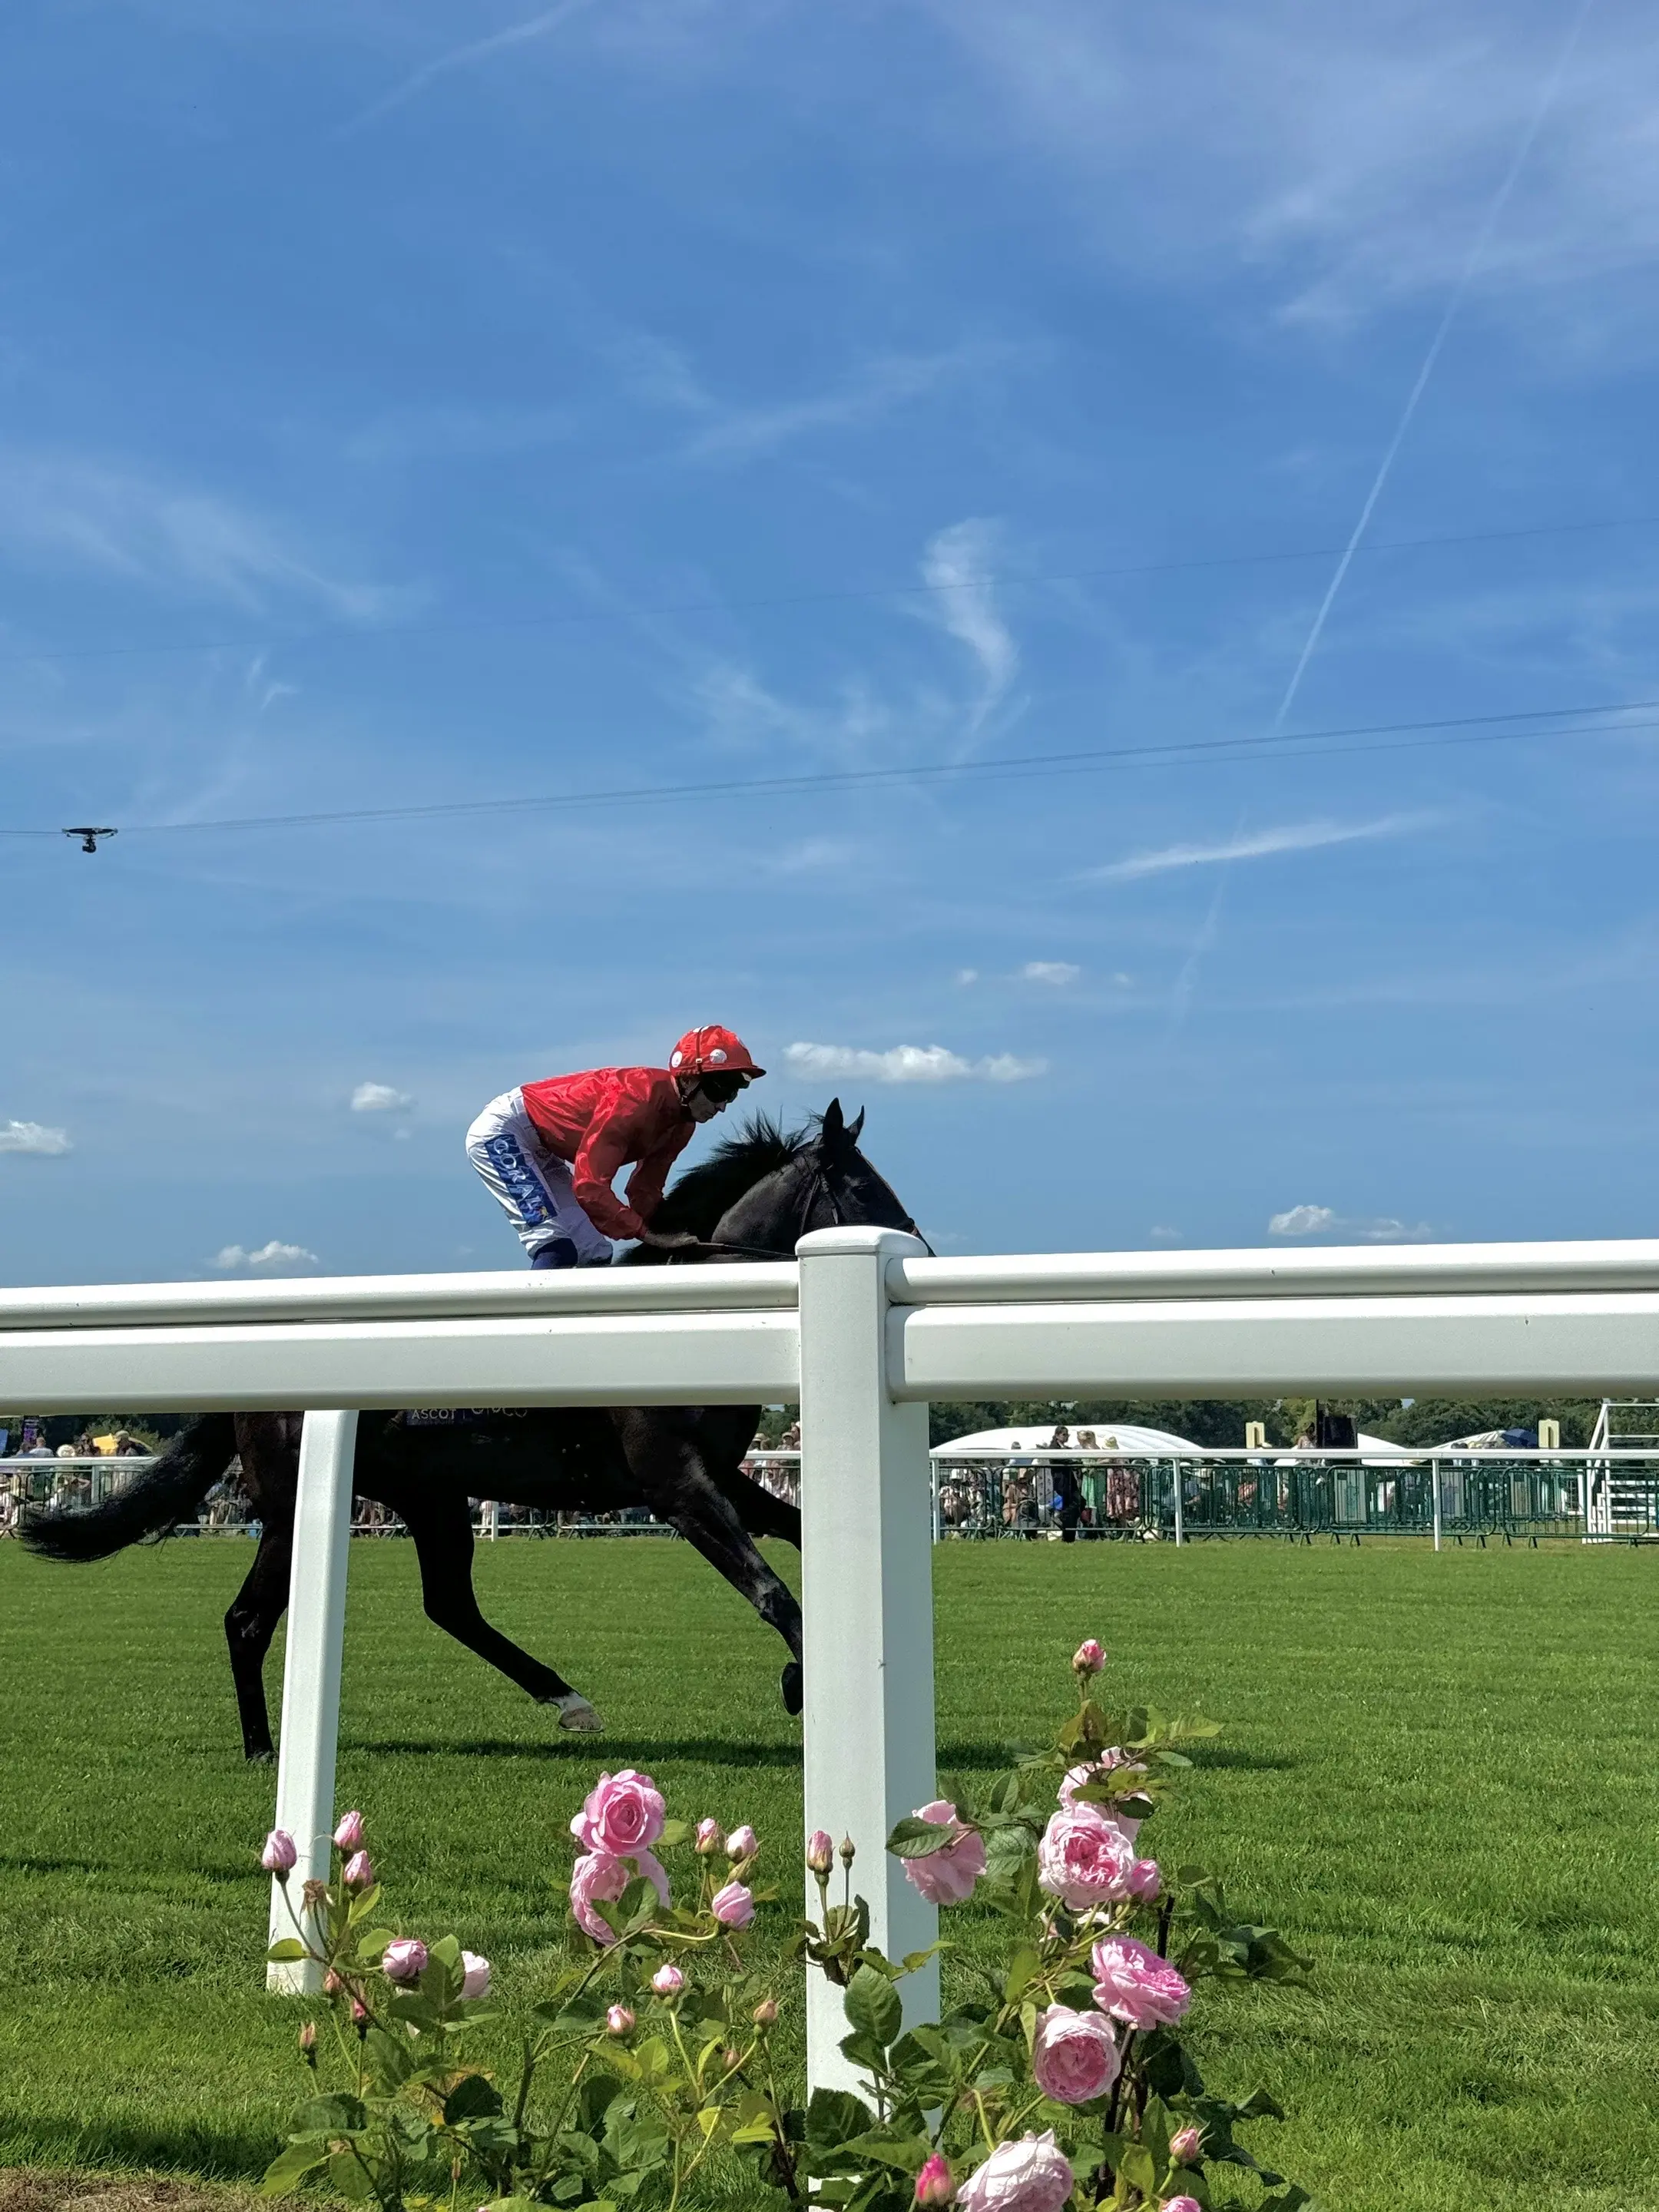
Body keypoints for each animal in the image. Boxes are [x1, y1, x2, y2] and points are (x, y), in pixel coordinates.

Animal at [21, 1101, 920, 1761]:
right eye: (864, 1189)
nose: (923, 1244)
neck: (681, 1316)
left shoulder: (722, 1474)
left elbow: (796, 1535)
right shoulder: (674, 1483)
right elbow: (767, 1586)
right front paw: (806, 1681)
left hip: (431, 1499)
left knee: (450, 1604)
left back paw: (570, 1702)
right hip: (292, 1503)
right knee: (248, 1619)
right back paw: (263, 1748)